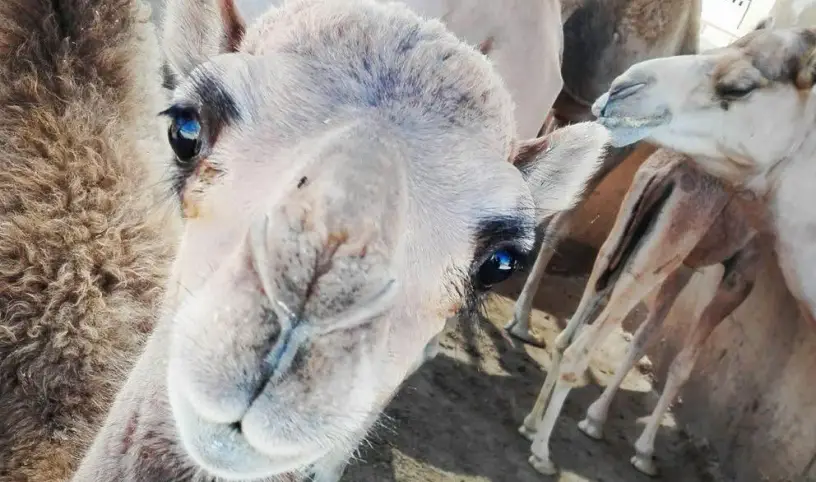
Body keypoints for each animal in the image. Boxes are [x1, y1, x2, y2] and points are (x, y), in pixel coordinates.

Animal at [520, 148, 766, 476]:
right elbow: (682, 365)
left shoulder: (684, 266)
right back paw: (542, 453)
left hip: (621, 243)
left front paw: (596, 418)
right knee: (578, 349)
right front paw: (645, 451)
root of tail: (667, 171)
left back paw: (531, 424)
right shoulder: (741, 274)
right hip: (652, 260)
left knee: (566, 336)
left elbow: (642, 338)